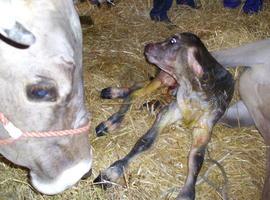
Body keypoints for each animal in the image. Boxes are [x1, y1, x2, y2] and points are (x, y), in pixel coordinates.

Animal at [94, 32, 233, 199]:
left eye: (173, 41)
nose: (147, 46)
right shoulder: (171, 110)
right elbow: (145, 141)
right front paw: (111, 173)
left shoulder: (205, 127)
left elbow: (196, 159)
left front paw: (187, 193)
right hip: (163, 77)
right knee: (137, 92)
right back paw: (111, 120)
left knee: (138, 87)